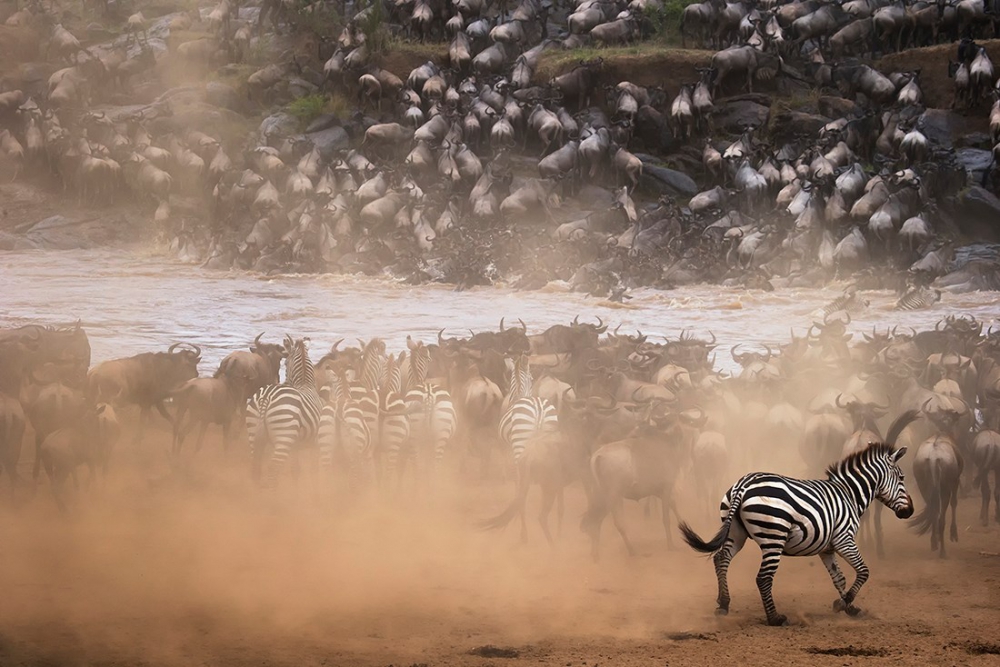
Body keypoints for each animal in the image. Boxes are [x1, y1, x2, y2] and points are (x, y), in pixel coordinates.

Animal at [245, 336, 320, 488]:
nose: (283, 382)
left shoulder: (296, 445)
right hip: (284, 436)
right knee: (273, 468)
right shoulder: (315, 441)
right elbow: (314, 469)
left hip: (253, 433)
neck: (306, 384)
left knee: (255, 466)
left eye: (285, 363)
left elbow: (295, 469)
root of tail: (266, 397)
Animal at [680, 410, 916, 628]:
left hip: (736, 532)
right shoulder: (844, 539)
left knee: (721, 558)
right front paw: (844, 602)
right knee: (763, 577)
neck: (850, 494)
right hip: (773, 536)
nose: (910, 511)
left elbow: (839, 577)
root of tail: (743, 485)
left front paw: (848, 607)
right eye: (902, 477)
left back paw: (723, 604)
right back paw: (775, 618)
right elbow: (864, 571)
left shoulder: (827, 547)